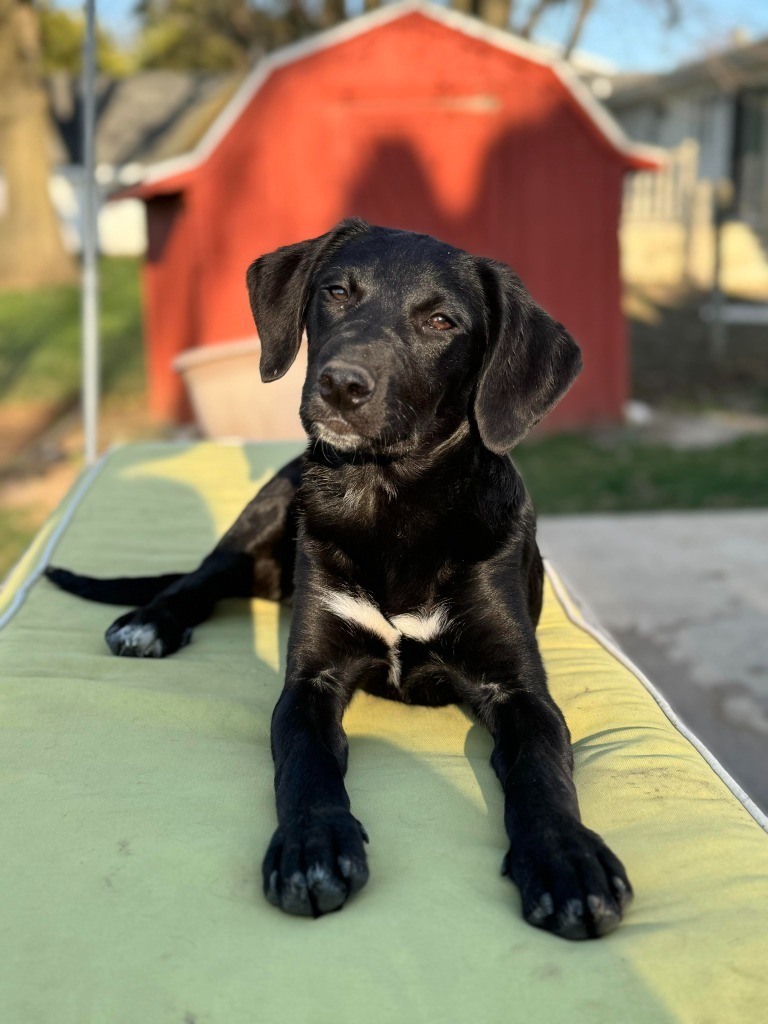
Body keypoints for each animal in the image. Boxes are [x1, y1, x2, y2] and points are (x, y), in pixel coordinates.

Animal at [46, 220, 630, 937]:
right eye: (336, 292)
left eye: (441, 321)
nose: (342, 385)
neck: (387, 500)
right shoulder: (310, 680)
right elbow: (305, 762)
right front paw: (313, 845)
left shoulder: (519, 690)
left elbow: (545, 771)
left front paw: (565, 858)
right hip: (271, 505)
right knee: (202, 577)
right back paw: (150, 622)